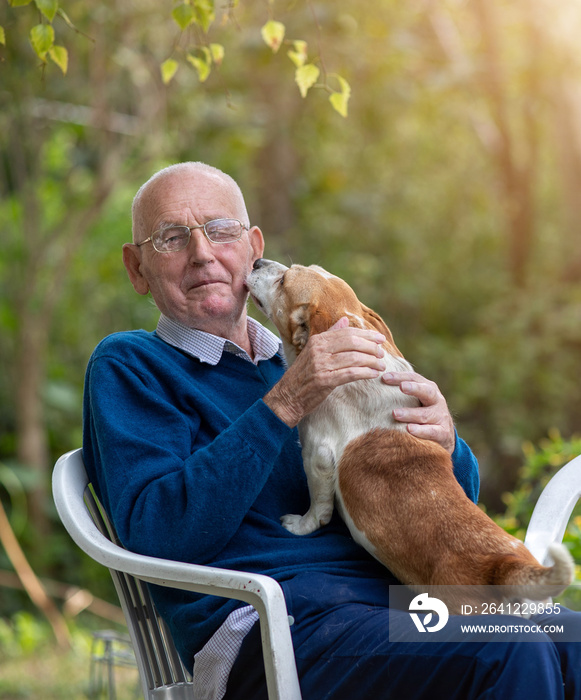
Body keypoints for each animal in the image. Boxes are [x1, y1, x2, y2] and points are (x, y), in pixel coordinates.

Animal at [244, 258, 572, 612]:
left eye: (284, 281)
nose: (257, 261)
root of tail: (503, 567)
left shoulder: (317, 456)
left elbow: (318, 510)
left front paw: (299, 526)